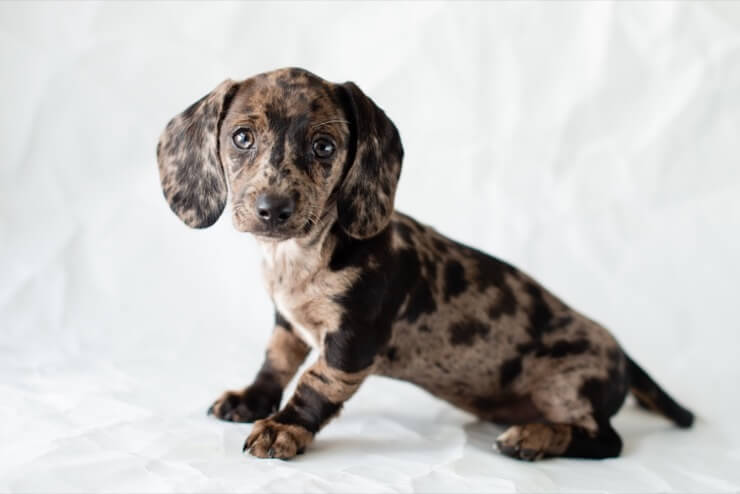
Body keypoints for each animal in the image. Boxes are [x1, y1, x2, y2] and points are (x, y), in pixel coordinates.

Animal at [156, 67, 692, 462]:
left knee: (607, 442)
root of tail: (622, 356)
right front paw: (250, 401)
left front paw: (283, 428)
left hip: (571, 384)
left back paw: (534, 437)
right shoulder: (287, 323)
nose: (273, 209)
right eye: (242, 137)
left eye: (324, 146)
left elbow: (315, 383)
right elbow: (276, 363)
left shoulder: (353, 340)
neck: (303, 255)